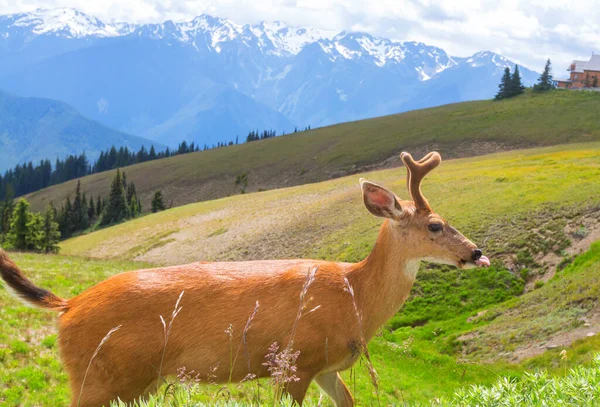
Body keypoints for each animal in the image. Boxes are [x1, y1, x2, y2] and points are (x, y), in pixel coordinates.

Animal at [1, 151, 488, 406]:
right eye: (435, 226)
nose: (477, 253)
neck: (355, 297)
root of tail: (67, 305)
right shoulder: (295, 361)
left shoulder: (325, 367)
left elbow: (348, 401)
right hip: (97, 377)